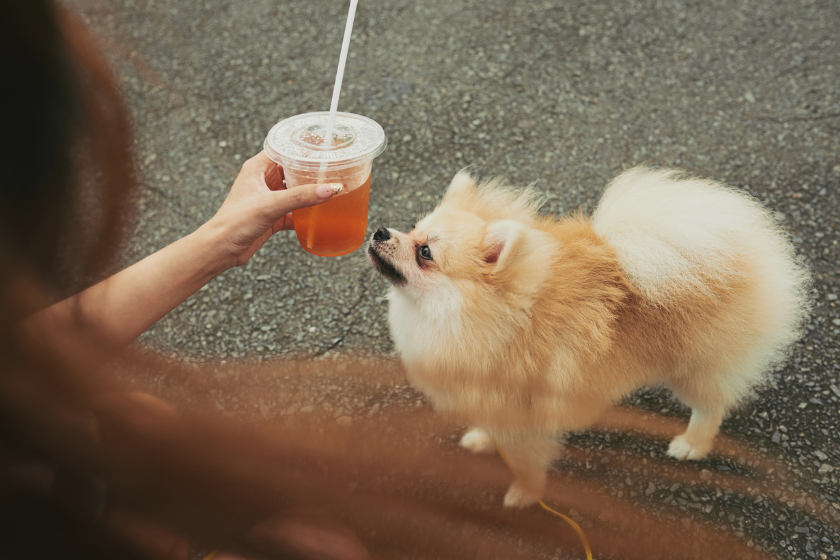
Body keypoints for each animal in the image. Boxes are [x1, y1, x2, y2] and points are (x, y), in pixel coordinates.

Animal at [366, 167, 808, 508]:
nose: (380, 231)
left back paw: (692, 444)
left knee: (711, 405)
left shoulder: (524, 419)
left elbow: (527, 463)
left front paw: (525, 495)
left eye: (425, 253)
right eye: (413, 228)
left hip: (694, 367)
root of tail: (744, 249)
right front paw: (482, 439)